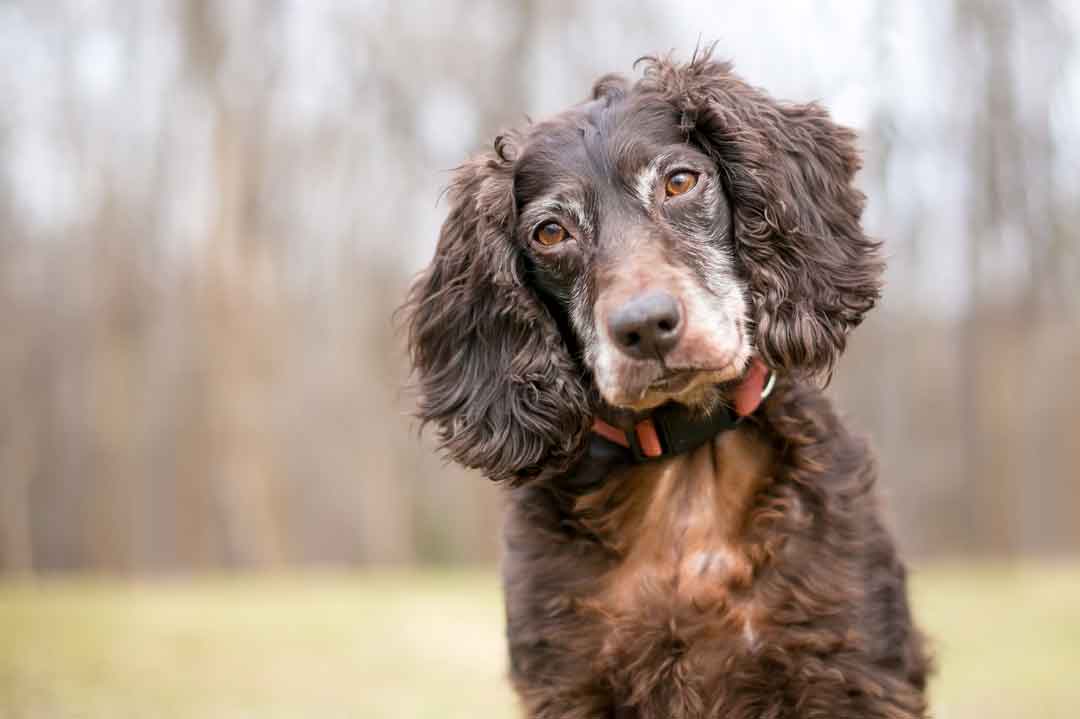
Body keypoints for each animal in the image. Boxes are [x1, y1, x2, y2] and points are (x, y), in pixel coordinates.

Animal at [406, 49, 928, 716]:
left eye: (680, 182)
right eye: (550, 233)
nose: (646, 328)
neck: (684, 475)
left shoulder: (850, 670)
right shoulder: (570, 683)